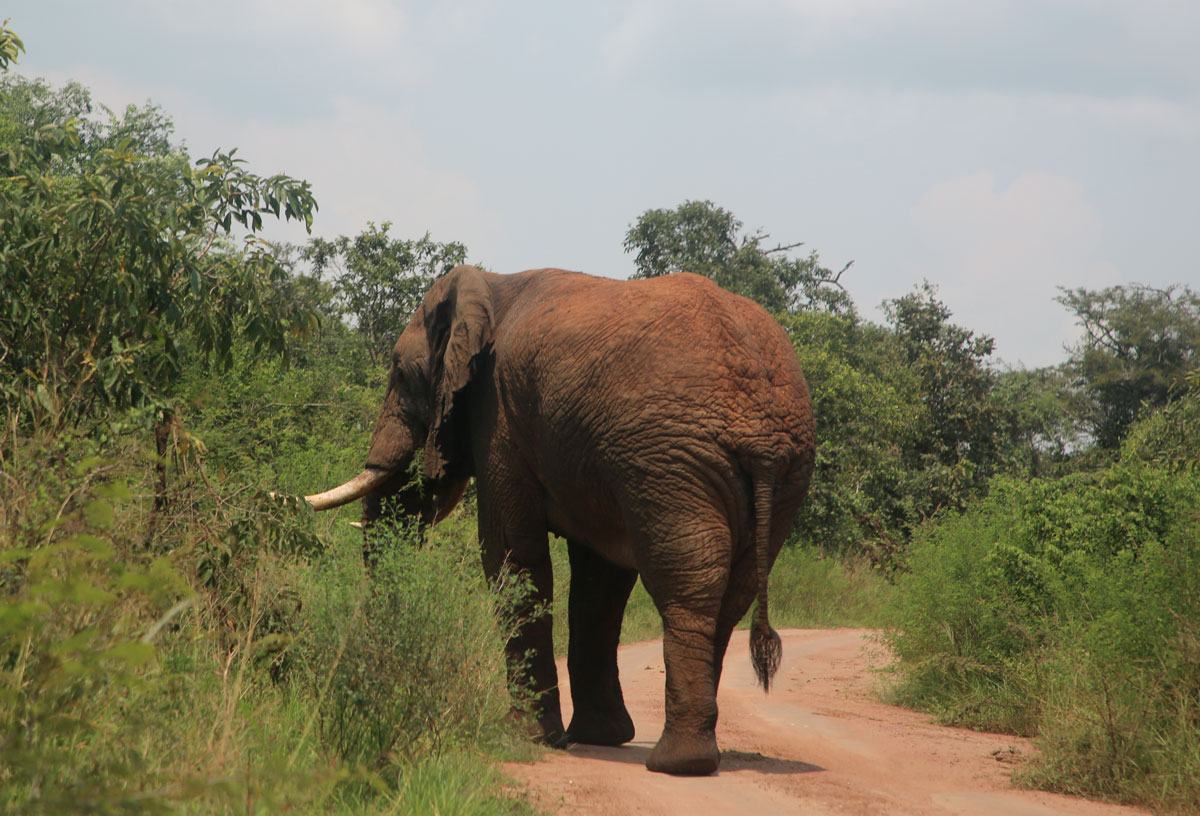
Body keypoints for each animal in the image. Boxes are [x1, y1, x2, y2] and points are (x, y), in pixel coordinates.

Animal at [299, 265, 815, 775]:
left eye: (401, 375)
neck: (490, 285)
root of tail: (762, 429)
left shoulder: (500, 417)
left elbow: (512, 555)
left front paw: (522, 736)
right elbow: (598, 585)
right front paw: (600, 737)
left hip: (673, 461)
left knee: (685, 582)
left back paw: (678, 763)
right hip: (776, 475)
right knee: (731, 593)